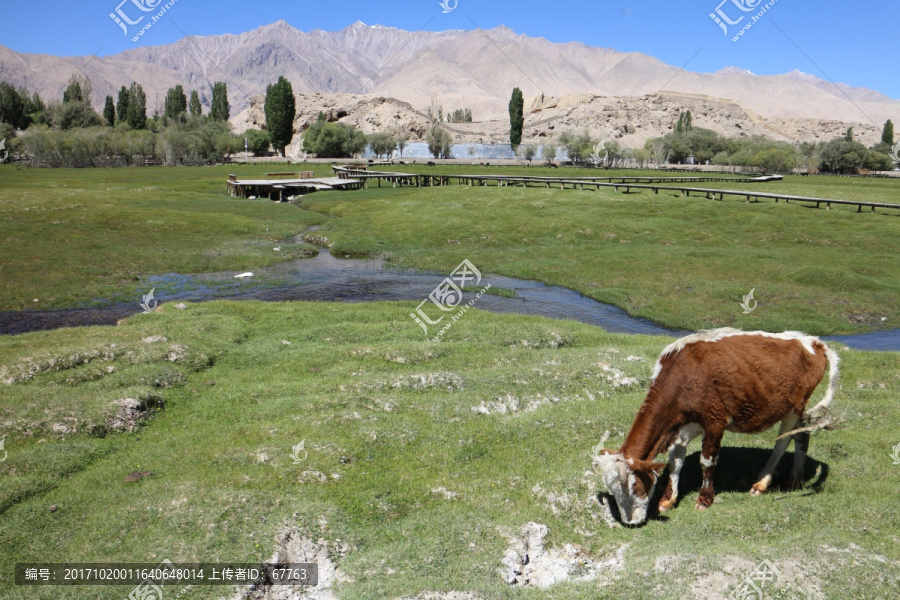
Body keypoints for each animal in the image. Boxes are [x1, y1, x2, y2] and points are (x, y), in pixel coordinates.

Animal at [596, 328, 840, 524]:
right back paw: (795, 480)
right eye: (613, 491)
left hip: (794, 408)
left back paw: (761, 484)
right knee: (802, 437)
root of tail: (813, 341)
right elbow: (675, 462)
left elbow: (707, 462)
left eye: (634, 487)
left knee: (783, 442)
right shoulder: (682, 426)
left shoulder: (715, 421)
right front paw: (667, 500)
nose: (630, 522)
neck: (684, 375)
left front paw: (704, 500)